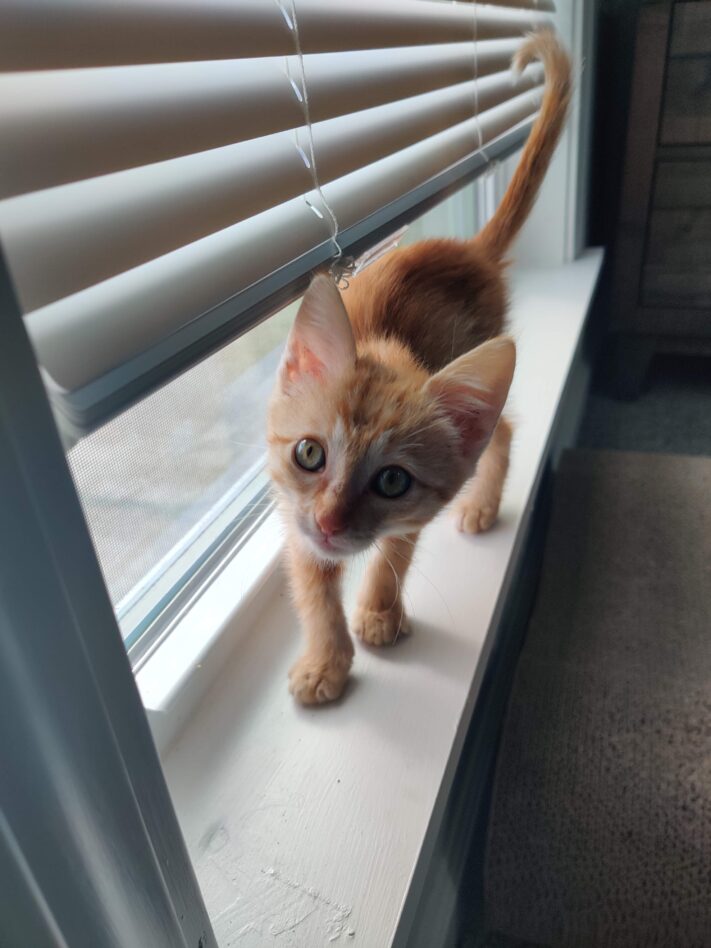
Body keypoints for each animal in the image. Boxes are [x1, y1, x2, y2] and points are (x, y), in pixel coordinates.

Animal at [268, 31, 572, 704]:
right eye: (309, 454)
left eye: (392, 481)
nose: (330, 522)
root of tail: (471, 251)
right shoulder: (293, 514)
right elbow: (311, 582)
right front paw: (326, 661)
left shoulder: (416, 503)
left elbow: (396, 549)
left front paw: (380, 610)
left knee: (500, 428)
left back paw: (482, 502)